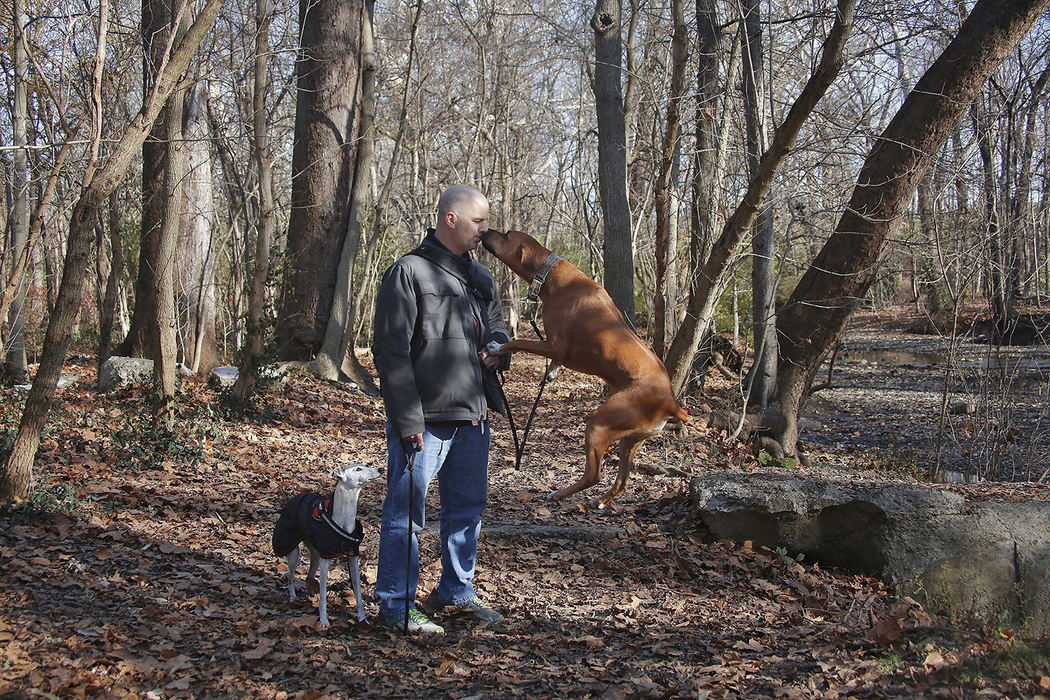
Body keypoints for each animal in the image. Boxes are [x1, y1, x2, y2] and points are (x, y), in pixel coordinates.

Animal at [482, 229, 688, 510]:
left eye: (505, 235)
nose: (484, 230)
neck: (550, 273)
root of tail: (671, 403)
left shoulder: (553, 345)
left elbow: (516, 341)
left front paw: (496, 348)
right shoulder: (555, 350)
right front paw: (551, 373)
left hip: (599, 425)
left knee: (594, 475)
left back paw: (559, 494)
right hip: (630, 439)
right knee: (622, 479)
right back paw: (601, 501)